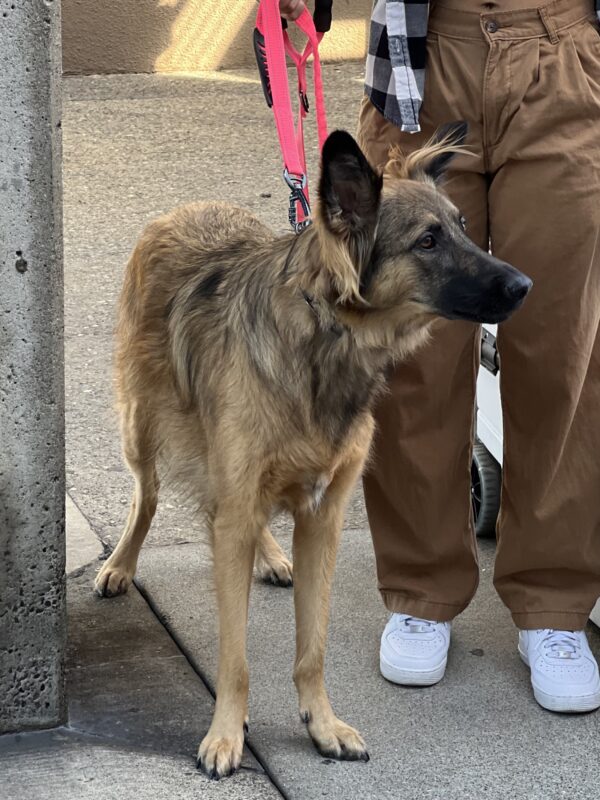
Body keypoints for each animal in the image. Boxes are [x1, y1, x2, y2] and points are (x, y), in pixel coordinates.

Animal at [96, 123, 532, 776]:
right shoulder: (238, 499)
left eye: (462, 225)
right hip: (141, 427)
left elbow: (313, 648)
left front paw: (321, 725)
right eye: (428, 241)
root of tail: (186, 209)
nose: (525, 285)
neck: (327, 337)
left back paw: (271, 556)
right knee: (145, 498)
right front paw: (226, 734)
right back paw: (121, 565)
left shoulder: (322, 519)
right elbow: (236, 657)